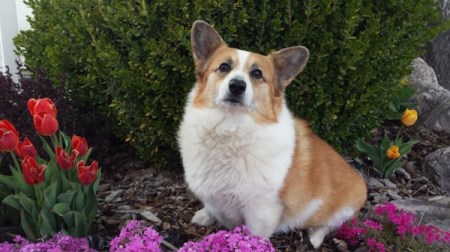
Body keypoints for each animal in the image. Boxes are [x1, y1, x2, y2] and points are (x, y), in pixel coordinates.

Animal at [178, 20, 368, 249]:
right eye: (224, 67)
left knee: (327, 225)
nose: (237, 86)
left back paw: (314, 238)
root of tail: (359, 178)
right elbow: (210, 205)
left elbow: (254, 236)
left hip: (342, 211)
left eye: (257, 74)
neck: (230, 128)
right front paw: (206, 215)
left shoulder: (261, 211)